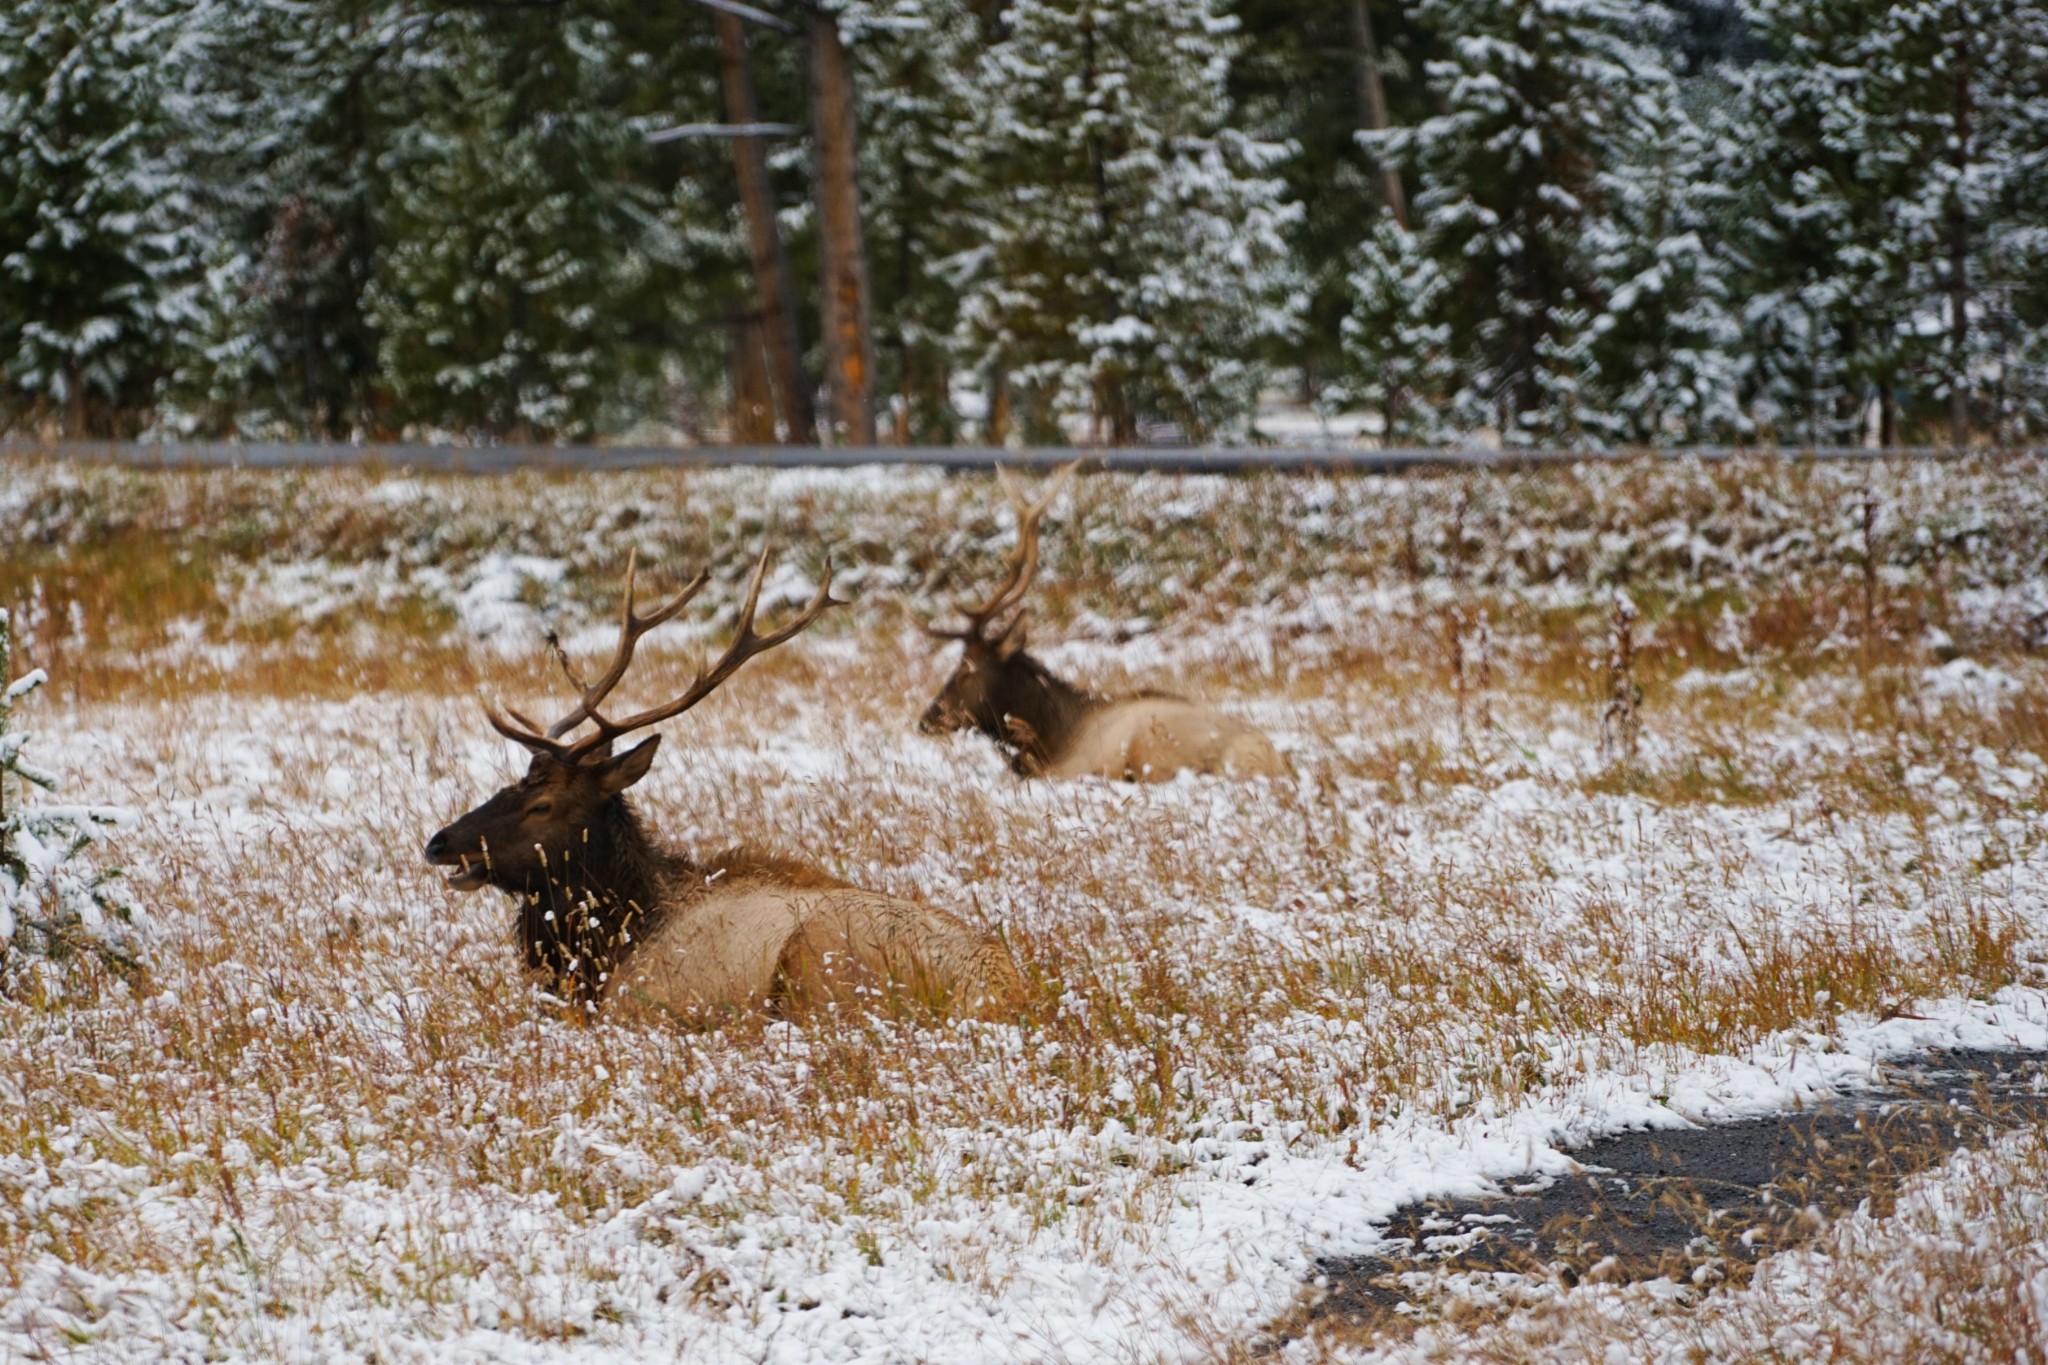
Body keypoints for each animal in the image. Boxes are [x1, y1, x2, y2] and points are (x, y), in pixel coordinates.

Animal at [925, 464, 1286, 777]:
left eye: (965, 670)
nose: (926, 720)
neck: (1050, 737)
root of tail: (1273, 765)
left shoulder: (1064, 770)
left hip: (1152, 747)